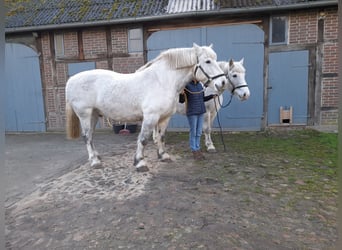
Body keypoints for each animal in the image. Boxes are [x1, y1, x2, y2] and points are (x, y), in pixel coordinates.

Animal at [65, 43, 228, 172]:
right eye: (207, 61)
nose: (223, 83)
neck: (162, 81)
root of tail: (71, 80)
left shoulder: (164, 118)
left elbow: (161, 137)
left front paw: (163, 156)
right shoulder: (150, 117)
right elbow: (143, 140)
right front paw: (140, 163)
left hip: (93, 114)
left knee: (91, 136)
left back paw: (96, 157)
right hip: (85, 115)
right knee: (87, 137)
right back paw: (94, 162)